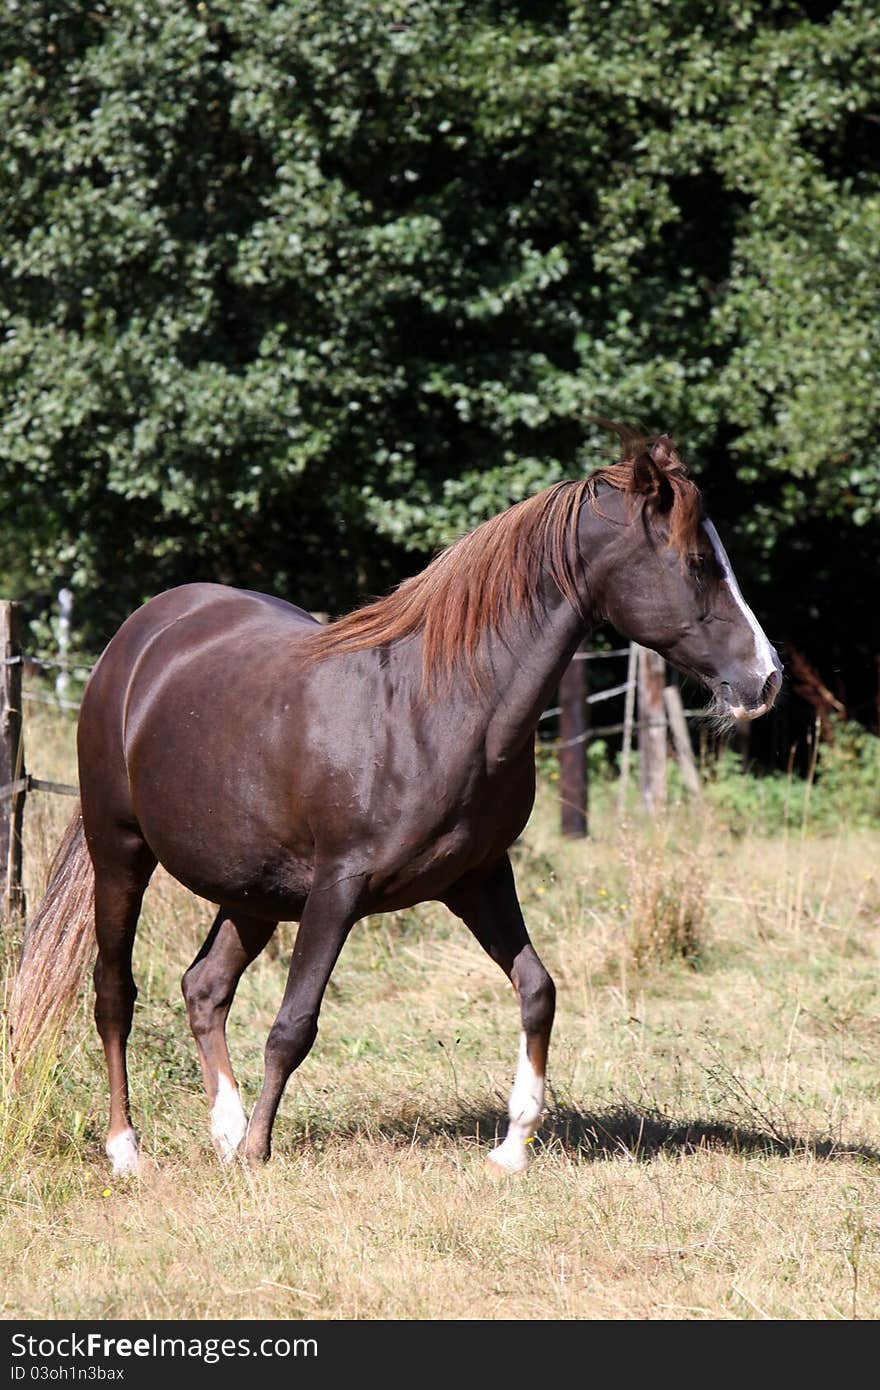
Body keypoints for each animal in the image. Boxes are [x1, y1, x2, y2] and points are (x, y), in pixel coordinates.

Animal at [11, 422, 784, 1173]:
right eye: (697, 562)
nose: (767, 679)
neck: (436, 706)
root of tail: (137, 641)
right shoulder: (339, 887)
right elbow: (293, 1024)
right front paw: (260, 1154)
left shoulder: (476, 878)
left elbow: (537, 989)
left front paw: (512, 1147)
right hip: (121, 854)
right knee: (114, 994)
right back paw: (128, 1150)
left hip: (254, 892)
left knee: (204, 987)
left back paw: (223, 1133)